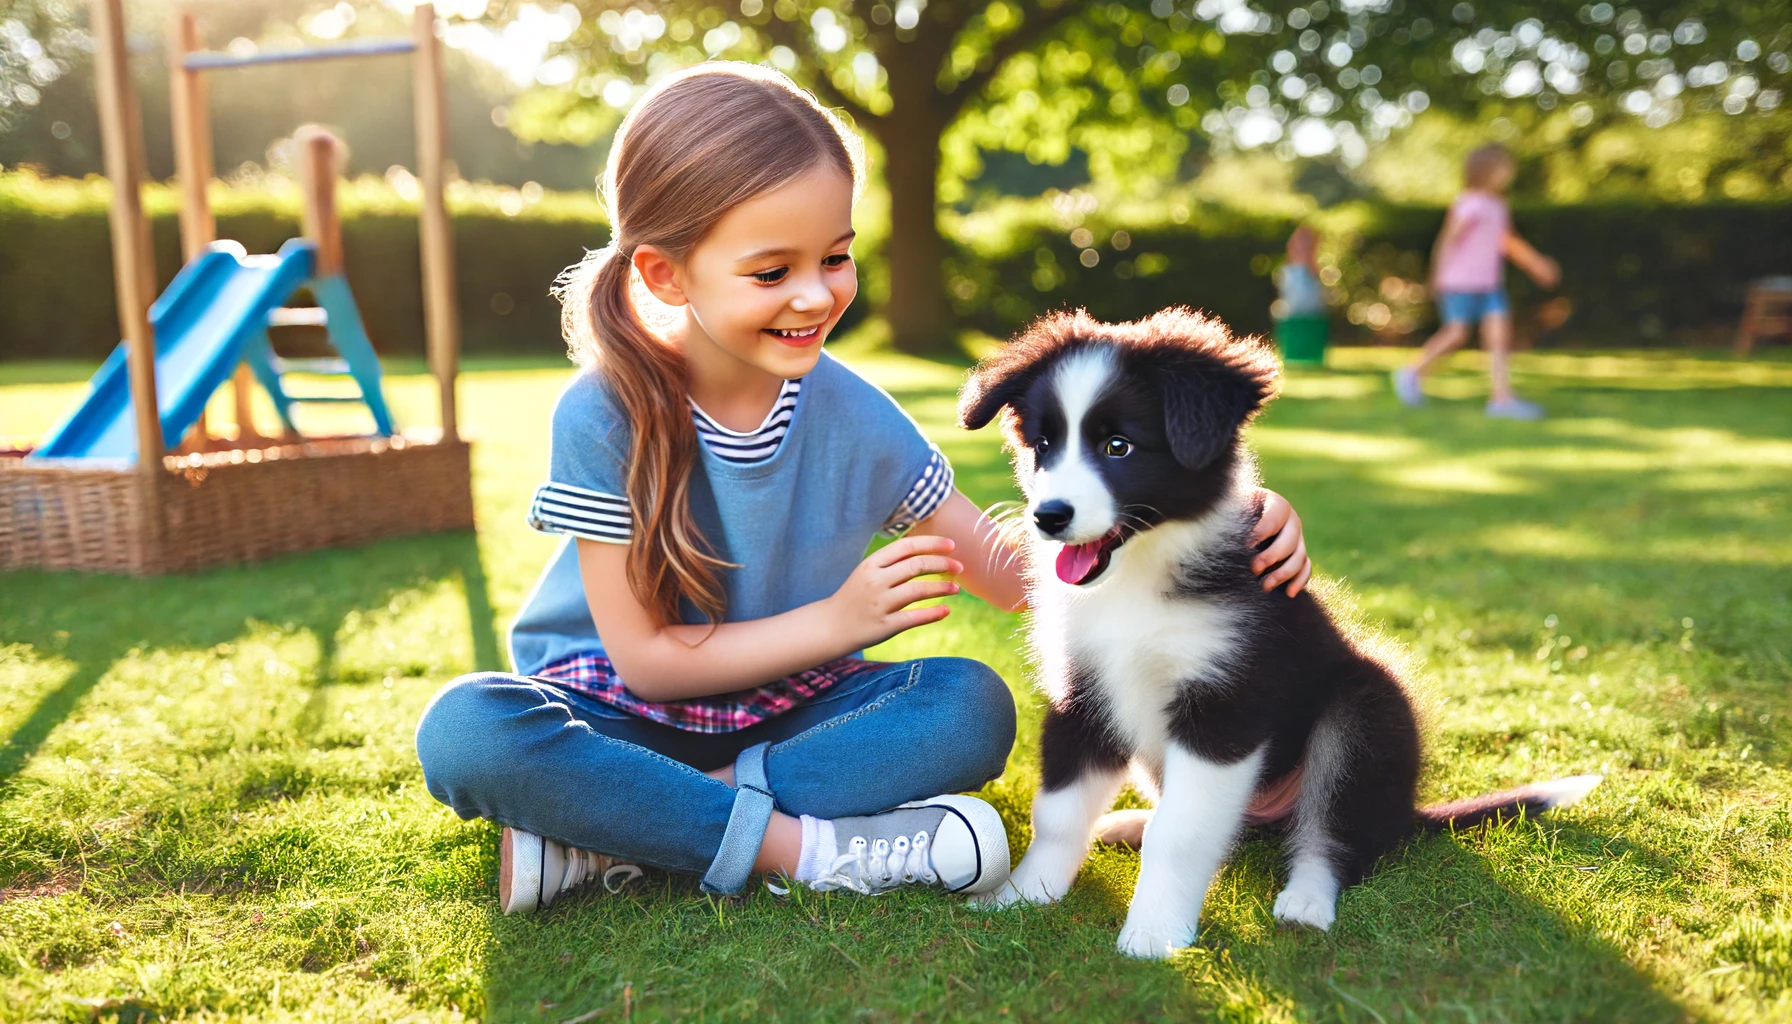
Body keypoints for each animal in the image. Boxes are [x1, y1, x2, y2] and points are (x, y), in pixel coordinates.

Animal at [960, 310, 1605, 961]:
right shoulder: (1082, 694)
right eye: (1043, 446)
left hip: (1365, 709)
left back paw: (1307, 901)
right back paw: (1127, 825)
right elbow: (1059, 813)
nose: (1048, 517)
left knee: (1330, 833)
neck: (1139, 578)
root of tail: (1405, 812)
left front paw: (1154, 934)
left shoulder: (1226, 705)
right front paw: (1022, 895)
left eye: (1118, 446)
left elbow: (1183, 831)